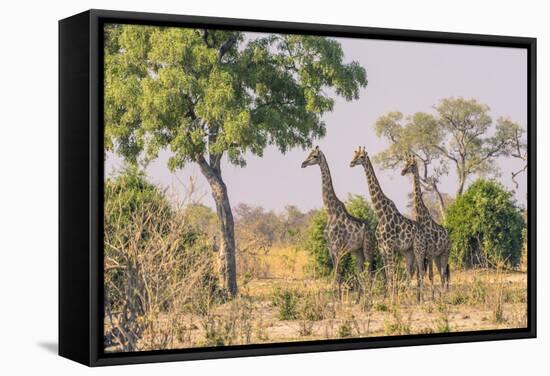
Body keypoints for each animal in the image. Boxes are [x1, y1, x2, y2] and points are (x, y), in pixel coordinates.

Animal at [304, 146, 378, 290]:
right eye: (308, 154)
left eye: (315, 156)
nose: (303, 163)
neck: (330, 211)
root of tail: (372, 230)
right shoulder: (330, 246)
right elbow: (336, 269)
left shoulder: (337, 246)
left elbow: (338, 272)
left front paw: (334, 289)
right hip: (357, 251)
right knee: (362, 271)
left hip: (367, 247)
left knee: (370, 270)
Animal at [352, 145, 430, 302]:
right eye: (355, 155)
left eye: (361, 157)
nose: (351, 163)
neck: (380, 213)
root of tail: (422, 232)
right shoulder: (382, 248)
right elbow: (387, 274)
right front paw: (388, 297)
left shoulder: (389, 247)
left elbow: (391, 273)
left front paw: (392, 298)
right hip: (408, 251)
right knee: (412, 271)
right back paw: (414, 297)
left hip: (419, 249)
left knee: (420, 270)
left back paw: (421, 299)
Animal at [402, 154, 452, 292]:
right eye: (405, 163)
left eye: (412, 165)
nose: (403, 171)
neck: (421, 218)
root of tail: (449, 238)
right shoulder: (425, 253)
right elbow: (421, 275)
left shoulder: (429, 252)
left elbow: (429, 275)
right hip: (437, 256)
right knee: (442, 273)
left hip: (445, 253)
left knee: (443, 273)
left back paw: (444, 292)